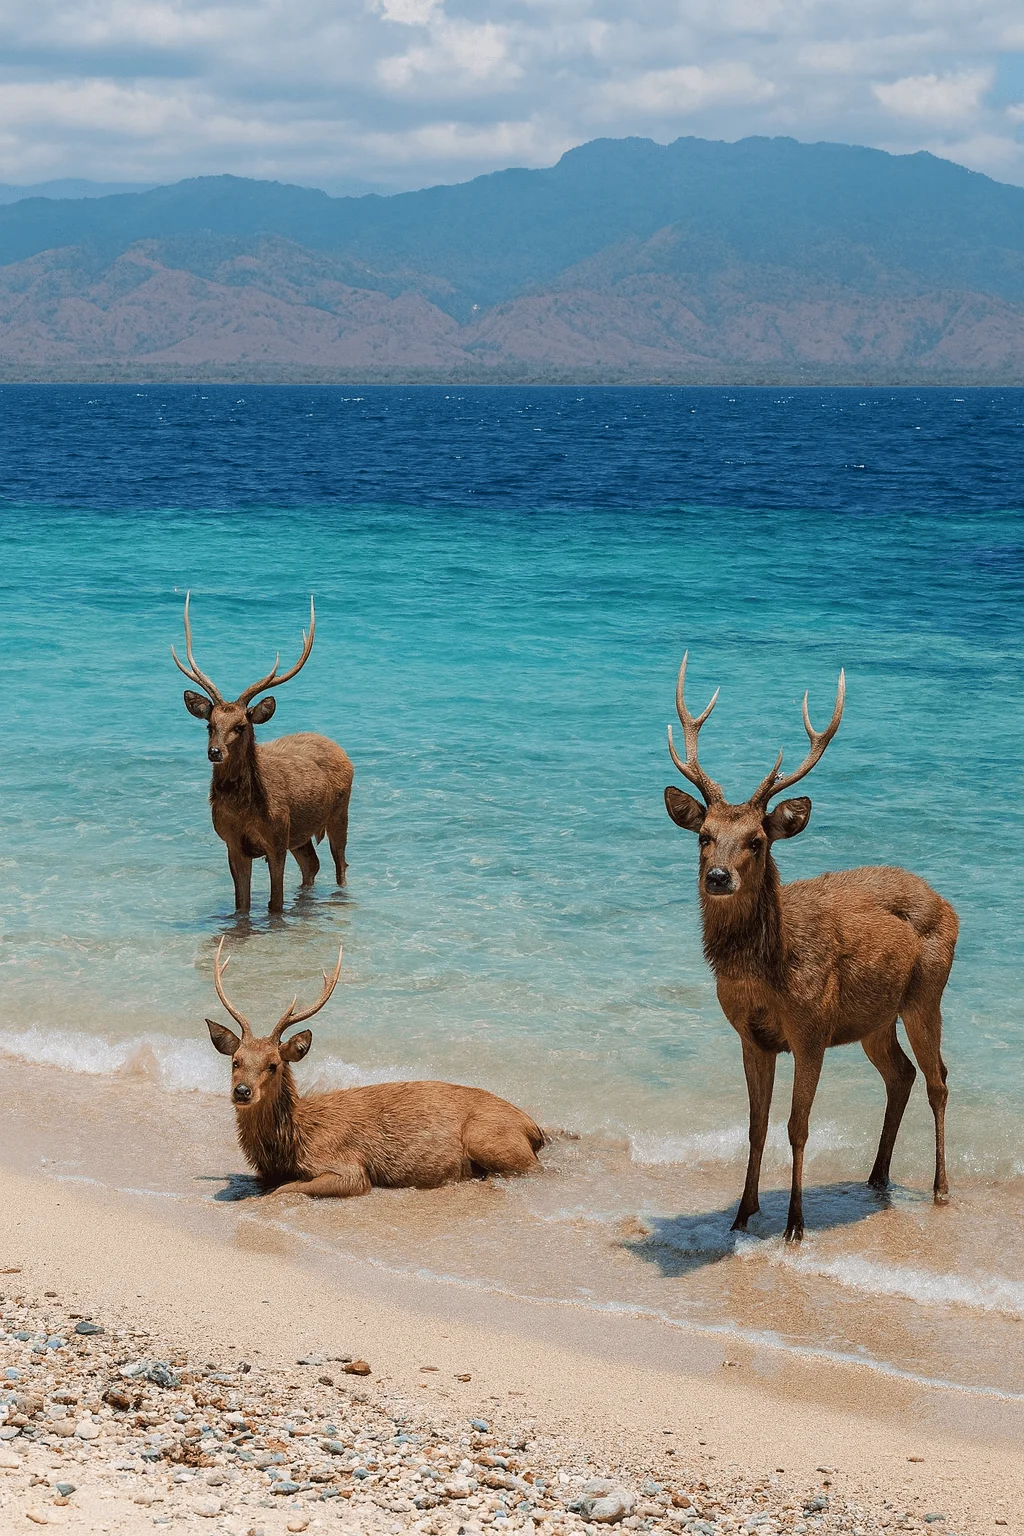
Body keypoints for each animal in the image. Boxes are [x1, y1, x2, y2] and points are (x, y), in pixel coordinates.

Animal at [172, 593, 353, 914]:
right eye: (210, 724)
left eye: (241, 726)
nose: (215, 752)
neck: (245, 812)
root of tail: (338, 747)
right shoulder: (233, 844)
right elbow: (241, 904)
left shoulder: (277, 839)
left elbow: (275, 904)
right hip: (300, 835)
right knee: (312, 865)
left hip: (339, 812)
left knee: (340, 864)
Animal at [205, 940, 546, 1198]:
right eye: (236, 1061)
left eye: (273, 1064)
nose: (242, 1091)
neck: (292, 1143)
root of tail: (535, 1128)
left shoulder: (349, 1169)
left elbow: (284, 1190)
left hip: (487, 1137)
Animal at [663, 654, 958, 1242]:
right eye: (704, 835)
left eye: (757, 840)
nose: (718, 876)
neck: (768, 974)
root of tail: (952, 907)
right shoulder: (751, 1037)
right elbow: (755, 1127)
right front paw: (741, 1214)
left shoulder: (812, 1029)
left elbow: (797, 1128)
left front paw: (795, 1224)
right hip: (875, 1018)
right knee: (902, 1074)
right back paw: (876, 1177)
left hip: (926, 993)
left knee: (939, 1079)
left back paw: (939, 1188)